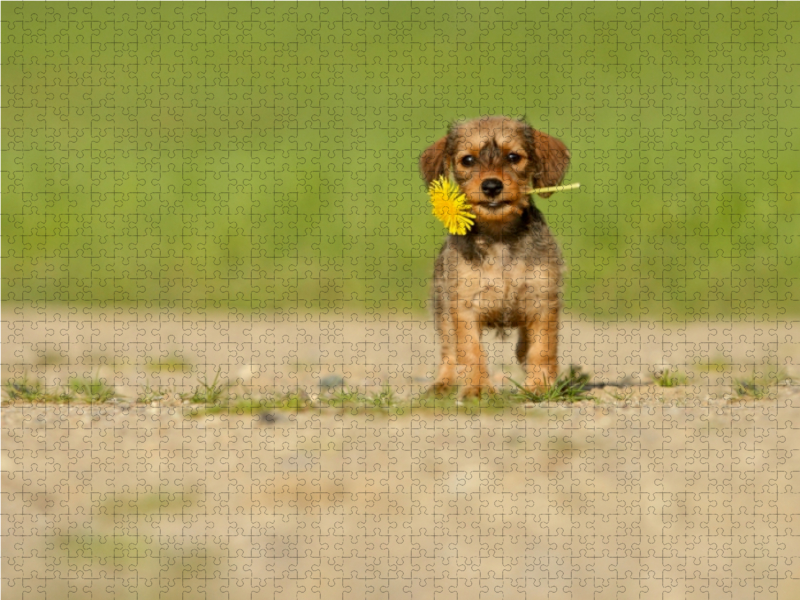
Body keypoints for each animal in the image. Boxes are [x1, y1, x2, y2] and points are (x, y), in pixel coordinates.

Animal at [418, 116, 568, 398]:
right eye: (468, 160)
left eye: (513, 157)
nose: (491, 186)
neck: (499, 238)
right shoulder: (464, 306)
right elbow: (470, 352)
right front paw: (477, 389)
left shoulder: (542, 300)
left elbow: (542, 348)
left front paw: (540, 385)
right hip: (442, 308)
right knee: (449, 351)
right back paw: (443, 383)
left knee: (523, 346)